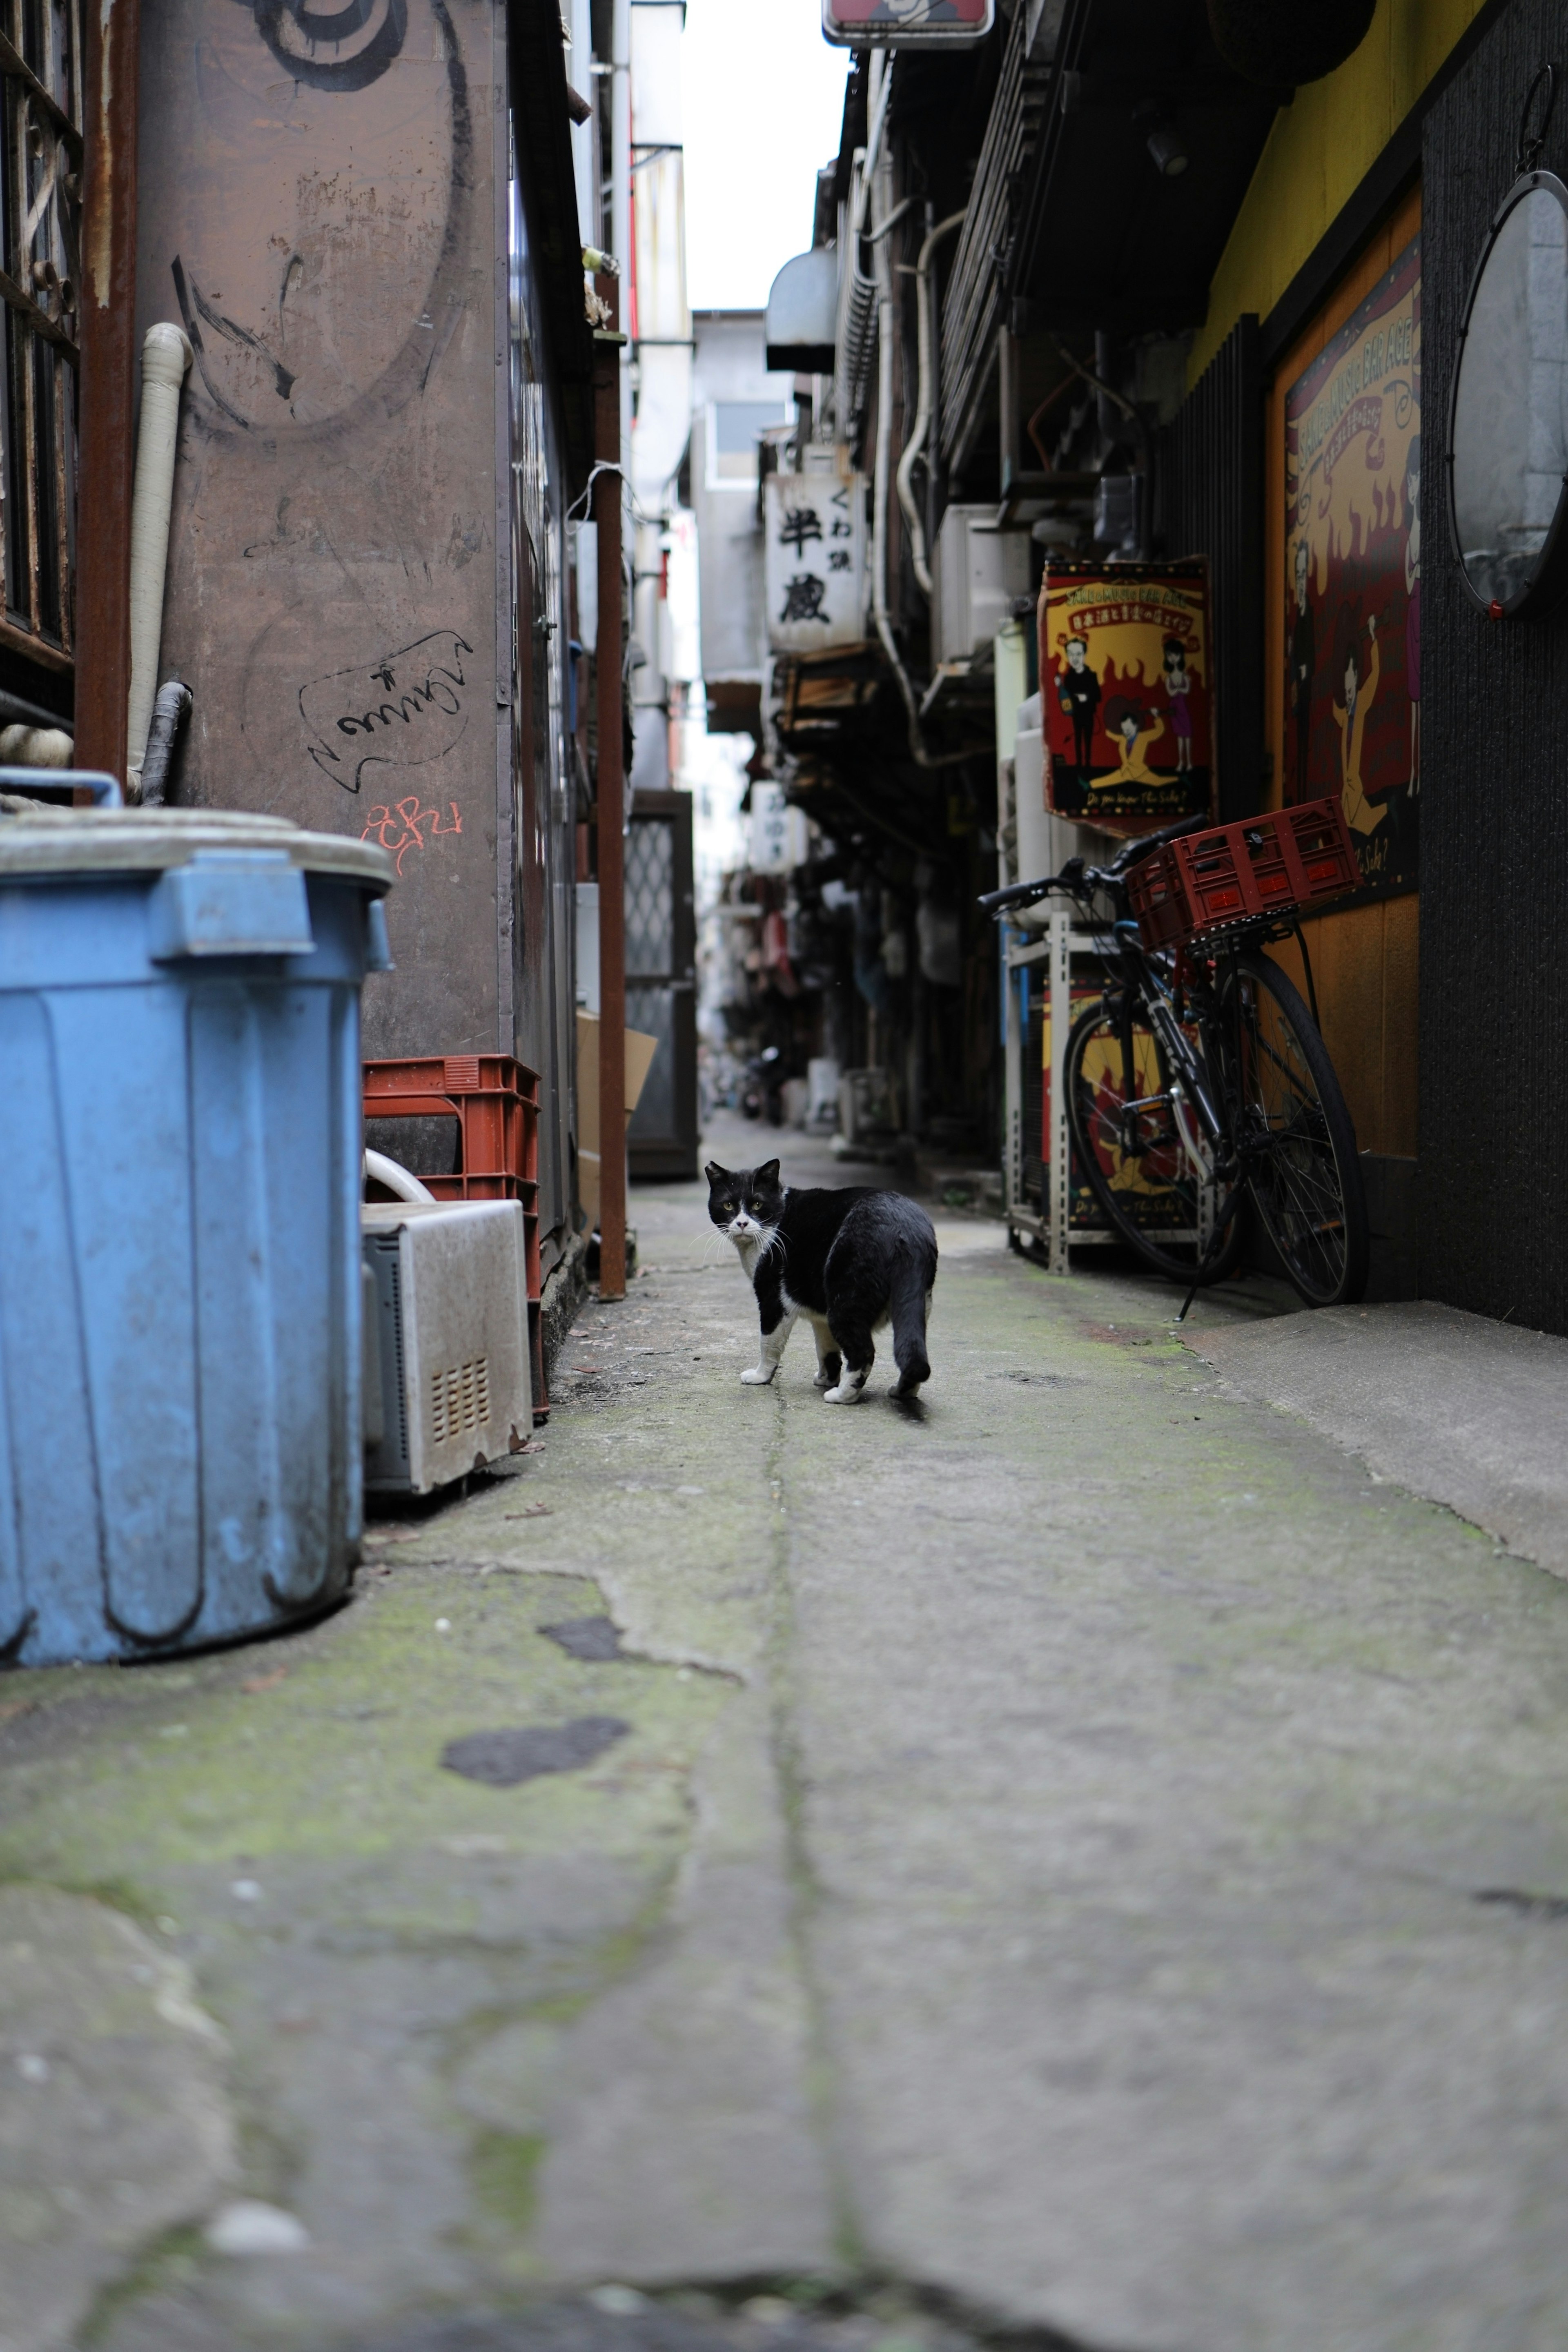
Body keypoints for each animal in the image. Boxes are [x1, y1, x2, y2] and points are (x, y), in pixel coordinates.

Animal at [705, 1157, 940, 1392]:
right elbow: (826, 1347)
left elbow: (769, 1342)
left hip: (846, 1294)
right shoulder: (818, 1308)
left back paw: (841, 1395)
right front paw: (827, 1379)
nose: (742, 1223)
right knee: (912, 1347)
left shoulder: (773, 1297)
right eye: (728, 1205)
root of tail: (904, 1228)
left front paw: (760, 1376)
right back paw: (900, 1392)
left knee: (863, 1351)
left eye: (757, 1205)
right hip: (919, 1303)